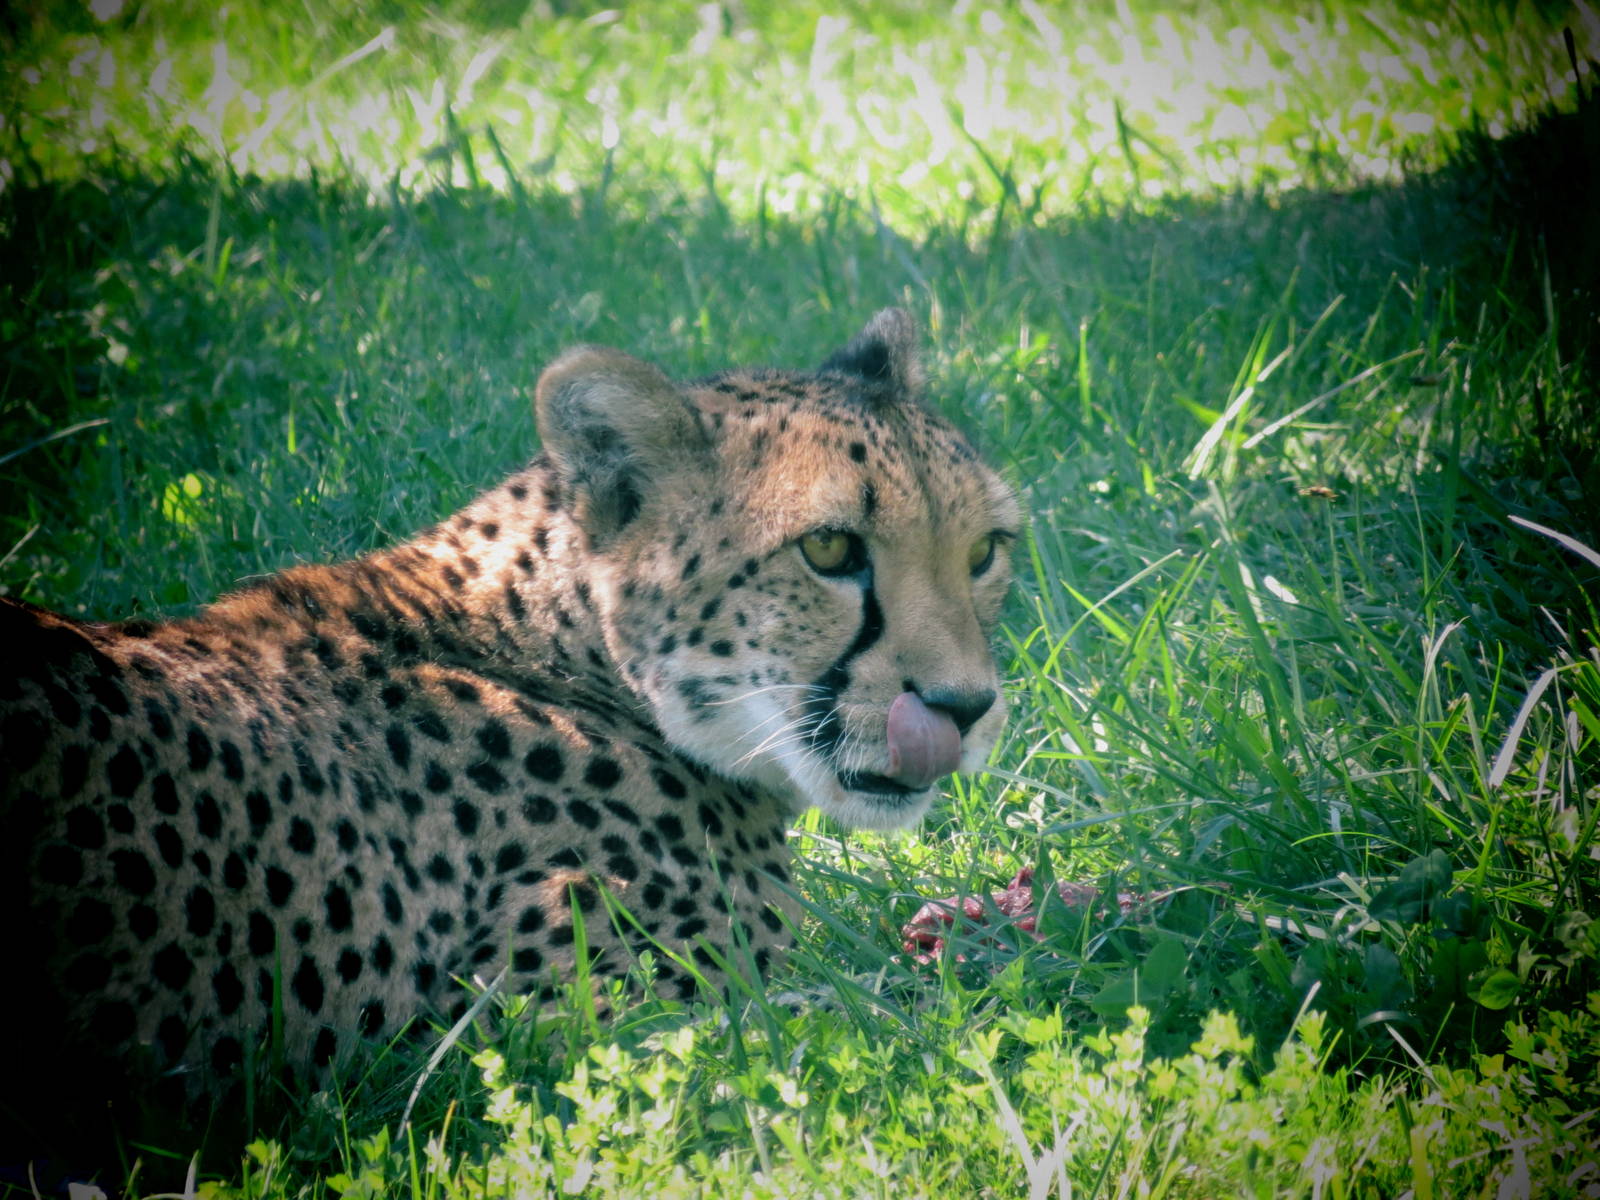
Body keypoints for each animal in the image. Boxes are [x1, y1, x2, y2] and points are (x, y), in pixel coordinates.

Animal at [1, 309, 1020, 1140]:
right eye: (829, 548)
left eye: (985, 551)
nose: (965, 708)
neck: (572, 655)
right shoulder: (519, 1047)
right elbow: (888, 1017)